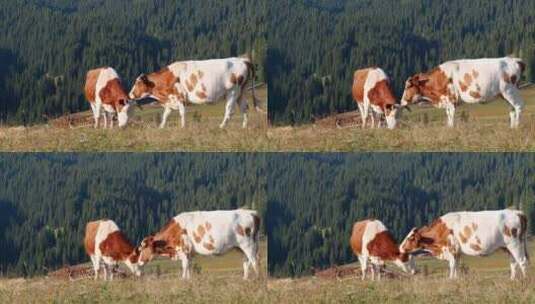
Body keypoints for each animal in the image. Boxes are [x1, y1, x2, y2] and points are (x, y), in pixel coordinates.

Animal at [129, 56, 260, 128]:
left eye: (138, 83)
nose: (130, 94)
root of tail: (242, 60)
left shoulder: (180, 97)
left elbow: (182, 113)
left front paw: (183, 127)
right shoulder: (170, 100)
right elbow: (165, 115)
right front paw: (161, 128)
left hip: (232, 92)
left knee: (229, 110)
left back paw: (222, 126)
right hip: (241, 92)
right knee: (244, 108)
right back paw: (244, 127)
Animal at [400, 209, 528, 280]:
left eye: (410, 238)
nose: (401, 248)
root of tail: (516, 212)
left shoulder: (451, 249)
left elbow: (452, 266)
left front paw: (451, 279)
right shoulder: (457, 252)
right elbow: (456, 266)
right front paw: (456, 279)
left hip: (514, 243)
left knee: (522, 261)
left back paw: (525, 279)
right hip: (507, 247)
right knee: (513, 263)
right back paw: (512, 279)